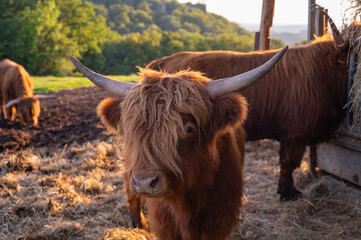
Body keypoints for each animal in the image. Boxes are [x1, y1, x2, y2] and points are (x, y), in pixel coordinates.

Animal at [69, 47, 286, 239]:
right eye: (131, 129)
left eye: (188, 129)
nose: (145, 182)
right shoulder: (164, 224)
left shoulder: (221, 220)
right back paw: (138, 224)